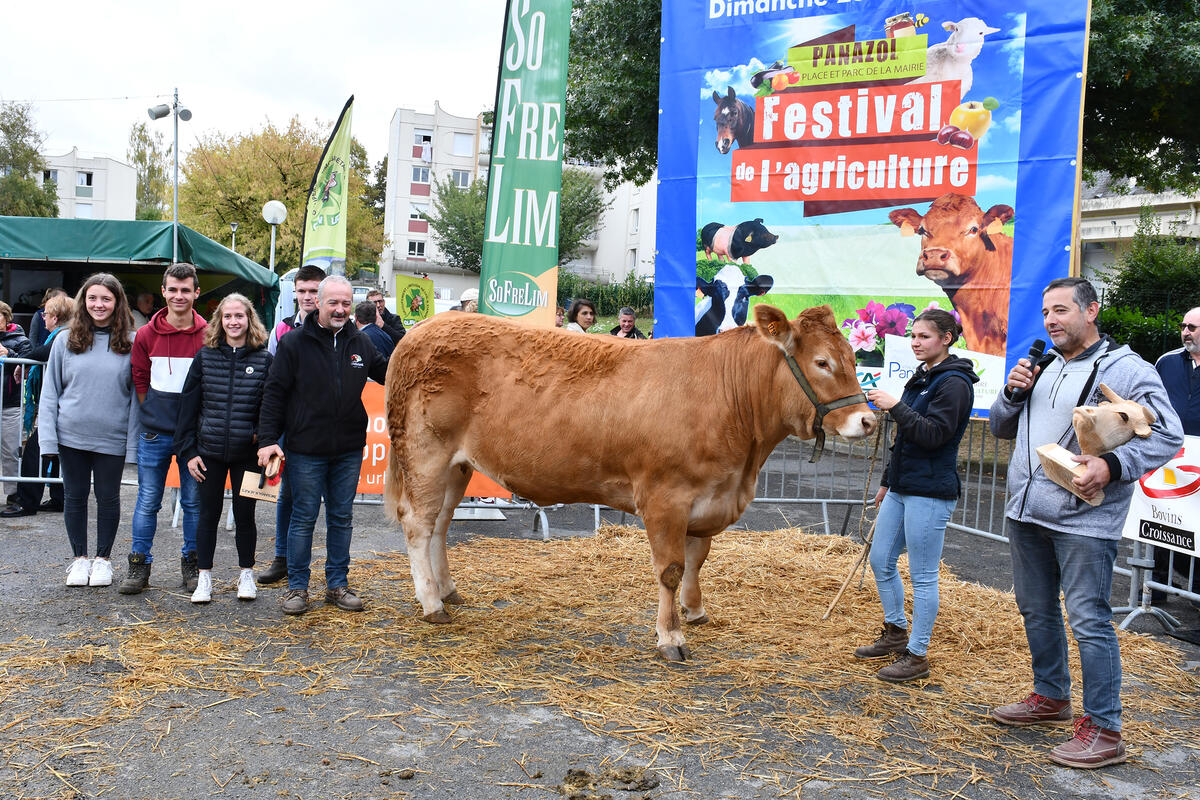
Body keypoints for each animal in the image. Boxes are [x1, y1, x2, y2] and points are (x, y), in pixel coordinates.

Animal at [388, 303, 878, 662]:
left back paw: (448, 590)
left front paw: (695, 611)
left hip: (458, 465)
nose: (869, 420)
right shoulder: (666, 498)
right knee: (418, 522)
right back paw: (431, 603)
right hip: (426, 451)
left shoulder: (709, 498)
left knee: (441, 523)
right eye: (822, 362)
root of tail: (425, 326)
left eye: (854, 359)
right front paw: (671, 638)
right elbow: (671, 569)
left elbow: (698, 559)